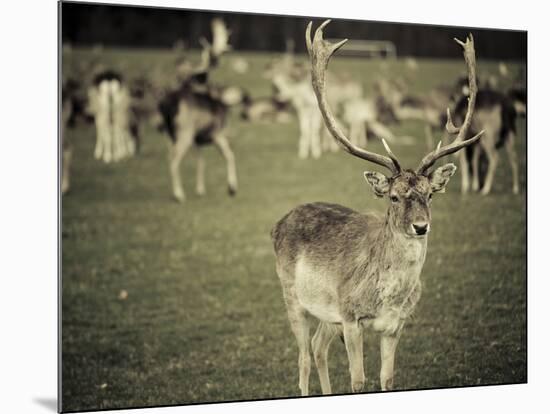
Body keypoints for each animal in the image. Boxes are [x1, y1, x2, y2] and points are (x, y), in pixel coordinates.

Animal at [274, 21, 486, 396]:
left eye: (430, 194)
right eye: (394, 197)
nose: (421, 226)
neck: (388, 296)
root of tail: (277, 224)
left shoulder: (395, 325)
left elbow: (388, 379)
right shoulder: (350, 316)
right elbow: (358, 381)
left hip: (326, 314)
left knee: (318, 348)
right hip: (294, 299)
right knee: (302, 357)